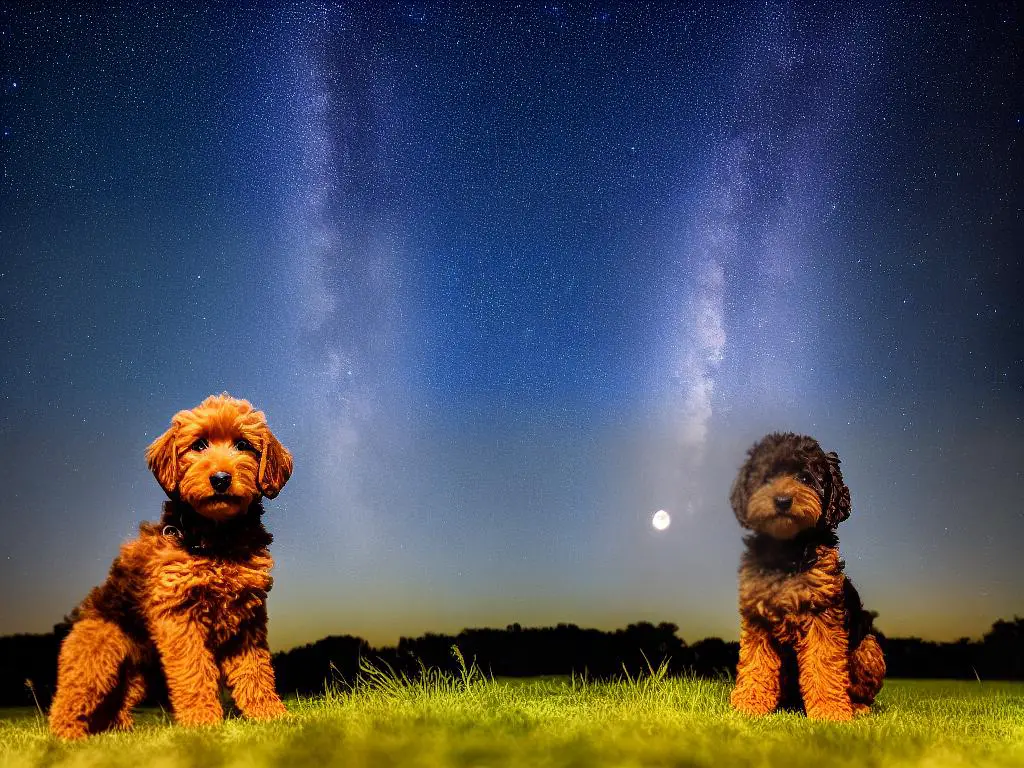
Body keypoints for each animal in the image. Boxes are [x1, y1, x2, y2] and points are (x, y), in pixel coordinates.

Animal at [49, 397, 294, 741]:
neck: (217, 540)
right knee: (67, 702)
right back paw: (67, 738)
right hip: (96, 658)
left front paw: (270, 716)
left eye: (243, 445)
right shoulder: (181, 619)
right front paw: (203, 722)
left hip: (139, 674)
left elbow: (256, 672)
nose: (221, 479)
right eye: (199, 444)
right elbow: (195, 674)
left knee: (115, 706)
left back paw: (120, 733)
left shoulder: (248, 620)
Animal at [729, 434, 888, 720]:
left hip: (869, 648)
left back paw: (857, 706)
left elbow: (823, 664)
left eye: (805, 477)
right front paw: (749, 703)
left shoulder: (822, 615)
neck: (789, 551)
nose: (782, 500)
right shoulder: (758, 616)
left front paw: (830, 712)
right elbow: (755, 663)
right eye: (766, 477)